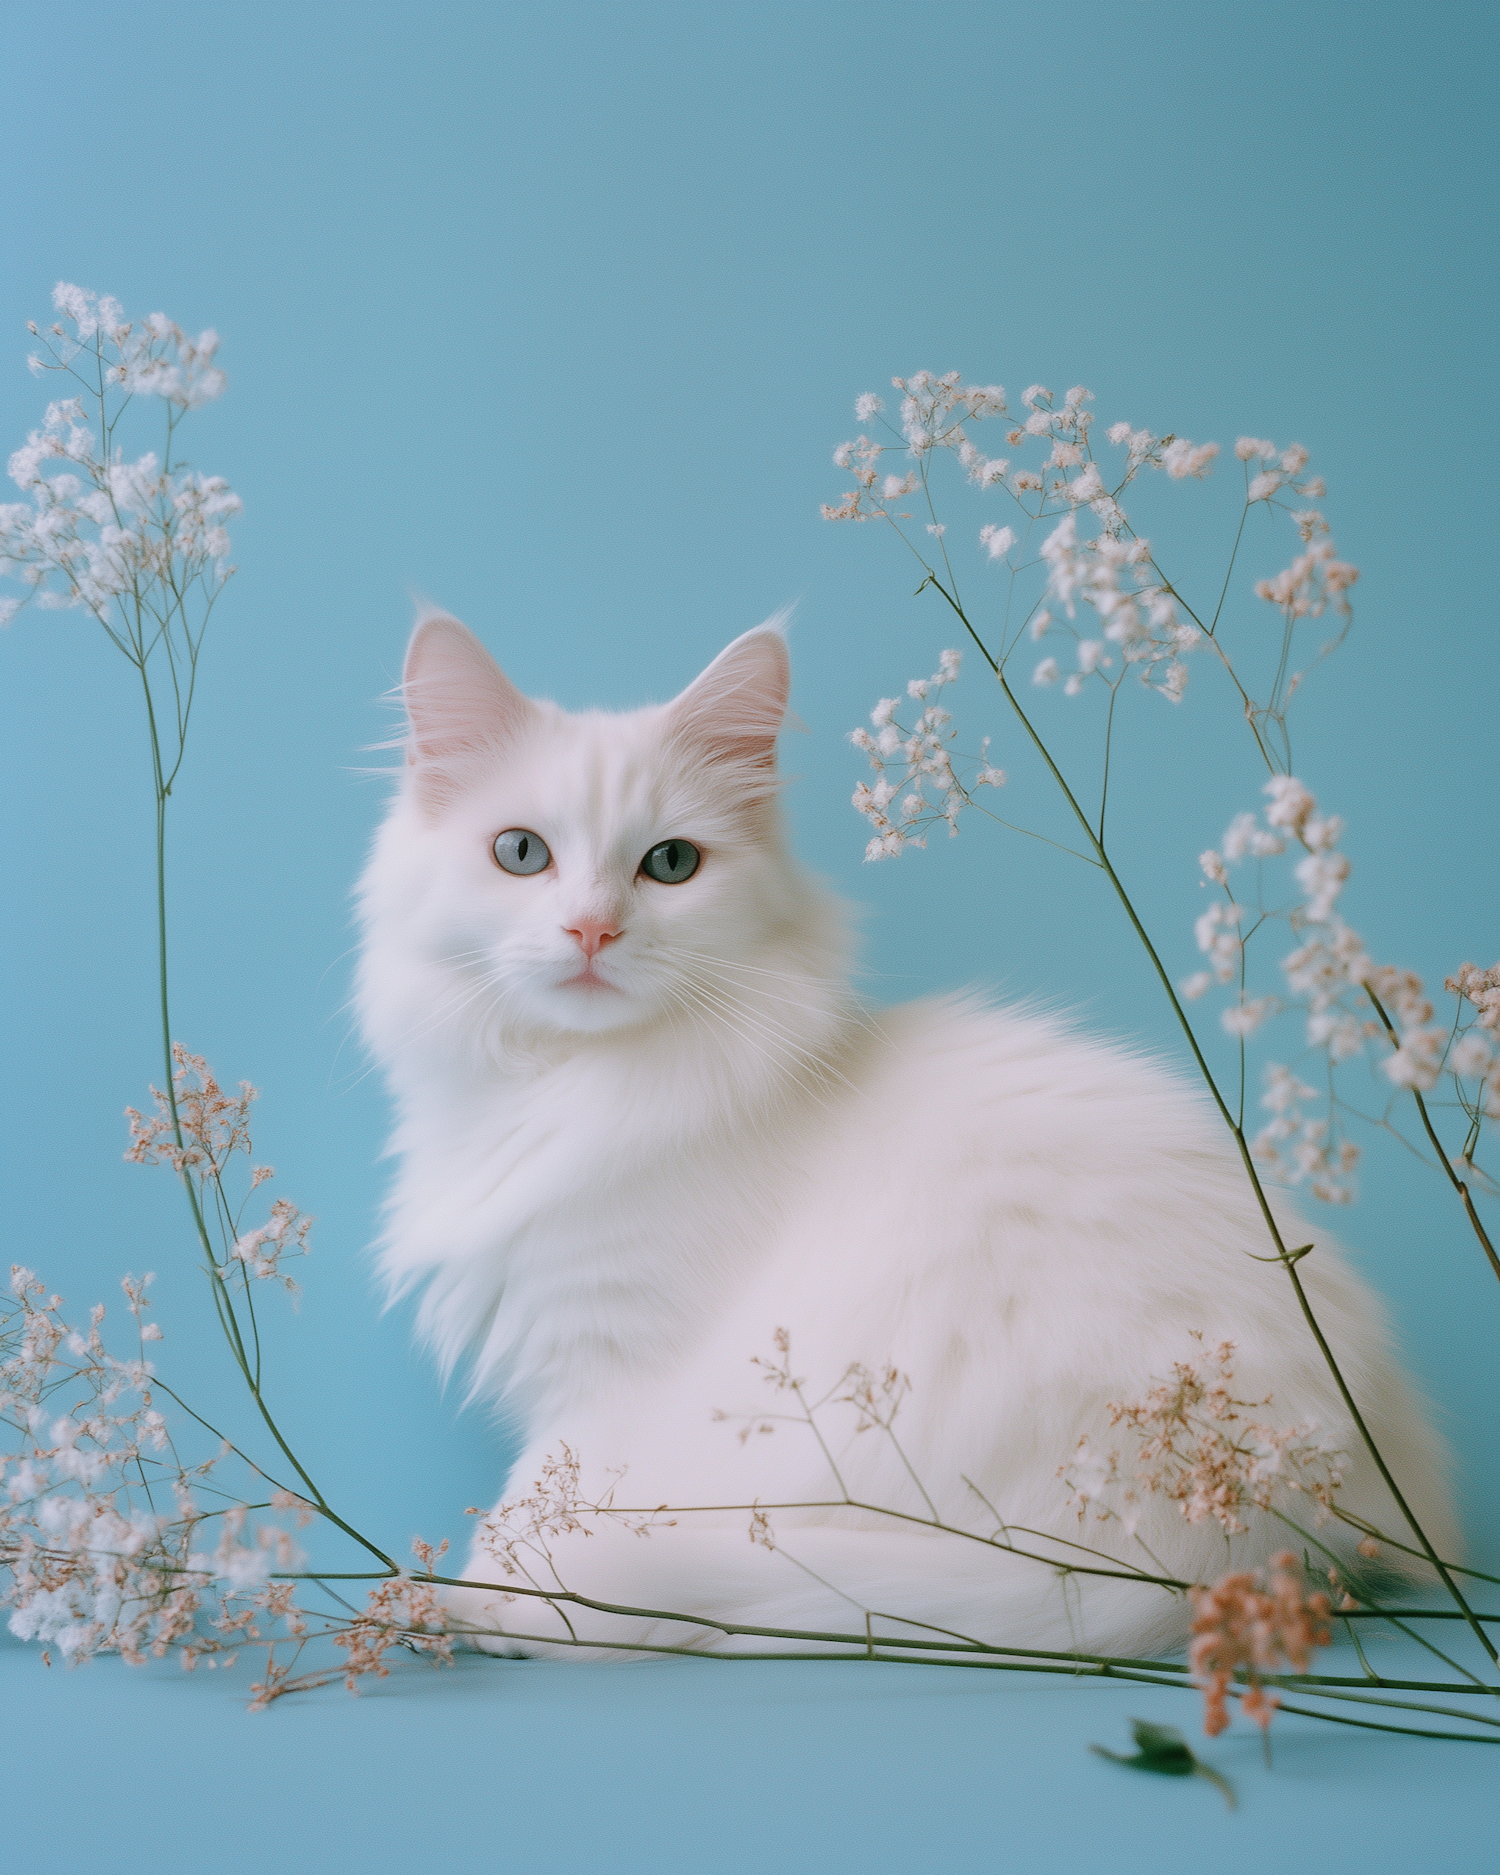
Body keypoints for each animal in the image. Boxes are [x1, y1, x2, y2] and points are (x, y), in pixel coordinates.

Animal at [358, 611, 1462, 1657]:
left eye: (669, 865)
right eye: (522, 853)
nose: (592, 930)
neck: (571, 1088)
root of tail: (1253, 1520)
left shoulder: (608, 1373)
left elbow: (543, 1500)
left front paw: (490, 1594)